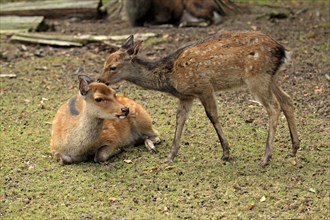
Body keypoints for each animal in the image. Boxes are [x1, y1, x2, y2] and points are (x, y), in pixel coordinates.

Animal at [97, 31, 300, 167]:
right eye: (104, 62)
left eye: (113, 67)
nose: (100, 80)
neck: (170, 77)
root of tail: (282, 51)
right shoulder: (186, 96)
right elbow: (180, 119)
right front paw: (170, 156)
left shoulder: (203, 87)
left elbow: (212, 116)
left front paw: (226, 153)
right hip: (271, 78)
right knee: (287, 100)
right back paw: (294, 148)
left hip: (256, 78)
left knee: (274, 107)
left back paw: (265, 158)